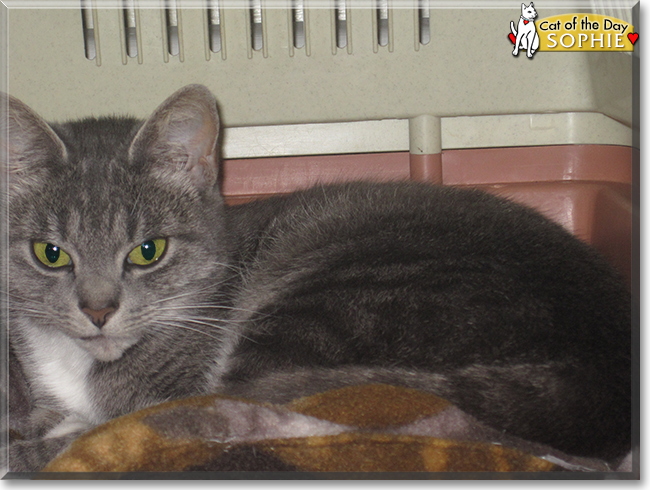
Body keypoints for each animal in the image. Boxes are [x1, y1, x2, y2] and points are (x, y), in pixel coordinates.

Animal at [0, 83, 628, 470]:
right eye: (50, 254)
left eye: (148, 251)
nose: (98, 310)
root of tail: (605, 368)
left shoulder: (165, 402)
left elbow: (91, 440)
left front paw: (25, 452)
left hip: (340, 296)